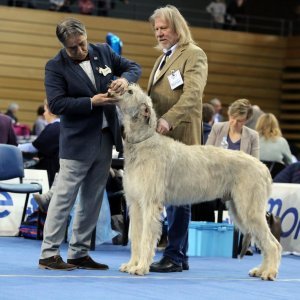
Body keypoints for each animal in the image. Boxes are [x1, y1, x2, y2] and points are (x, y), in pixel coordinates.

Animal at [113, 84, 282, 278]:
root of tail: (263, 168)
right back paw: (261, 270)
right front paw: (131, 264)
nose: (117, 85)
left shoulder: (150, 203)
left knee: (273, 244)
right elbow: (136, 236)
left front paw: (140, 267)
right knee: (264, 241)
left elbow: (146, 237)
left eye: (130, 92)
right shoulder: (135, 203)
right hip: (239, 209)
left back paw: (269, 272)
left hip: (249, 208)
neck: (142, 142)